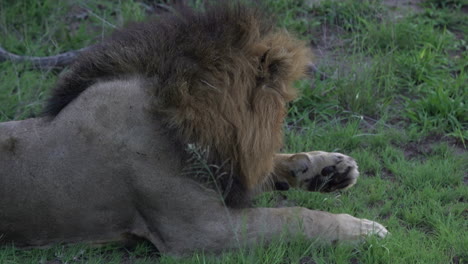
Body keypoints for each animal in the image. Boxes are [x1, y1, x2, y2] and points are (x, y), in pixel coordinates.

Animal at [0, 2, 388, 256]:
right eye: (281, 111)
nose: (281, 121)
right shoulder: (200, 230)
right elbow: (295, 217)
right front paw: (364, 229)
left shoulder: (227, 167)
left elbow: (276, 165)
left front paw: (330, 168)